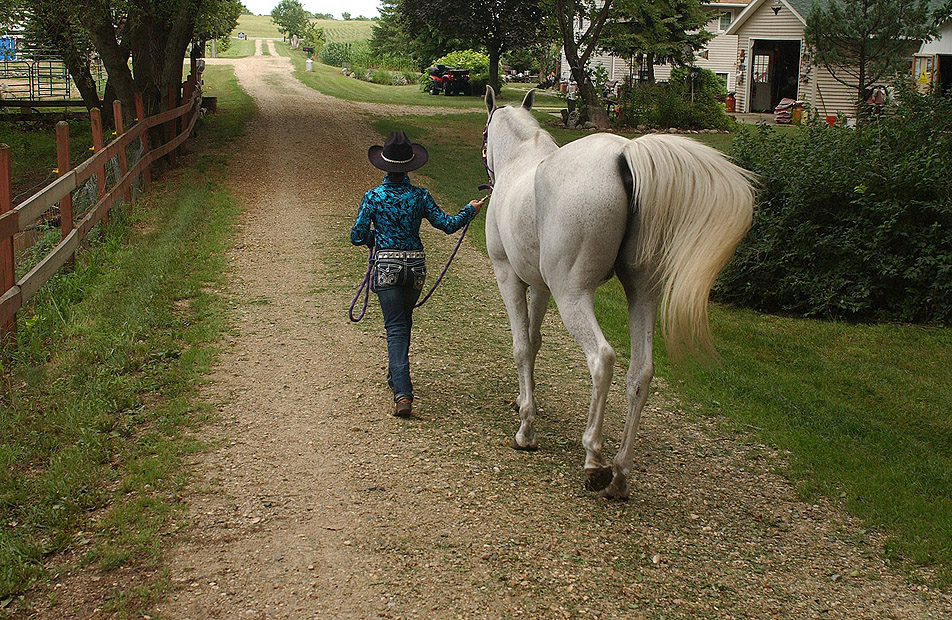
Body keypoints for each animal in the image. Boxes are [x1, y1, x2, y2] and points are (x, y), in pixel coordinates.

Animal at [483, 87, 755, 500]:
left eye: (484, 136)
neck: (521, 159)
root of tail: (624, 155)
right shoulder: (541, 287)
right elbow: (534, 339)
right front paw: (523, 401)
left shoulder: (509, 276)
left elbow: (521, 346)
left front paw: (526, 429)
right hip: (640, 293)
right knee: (640, 371)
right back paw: (620, 474)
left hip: (573, 294)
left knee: (603, 359)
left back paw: (594, 460)